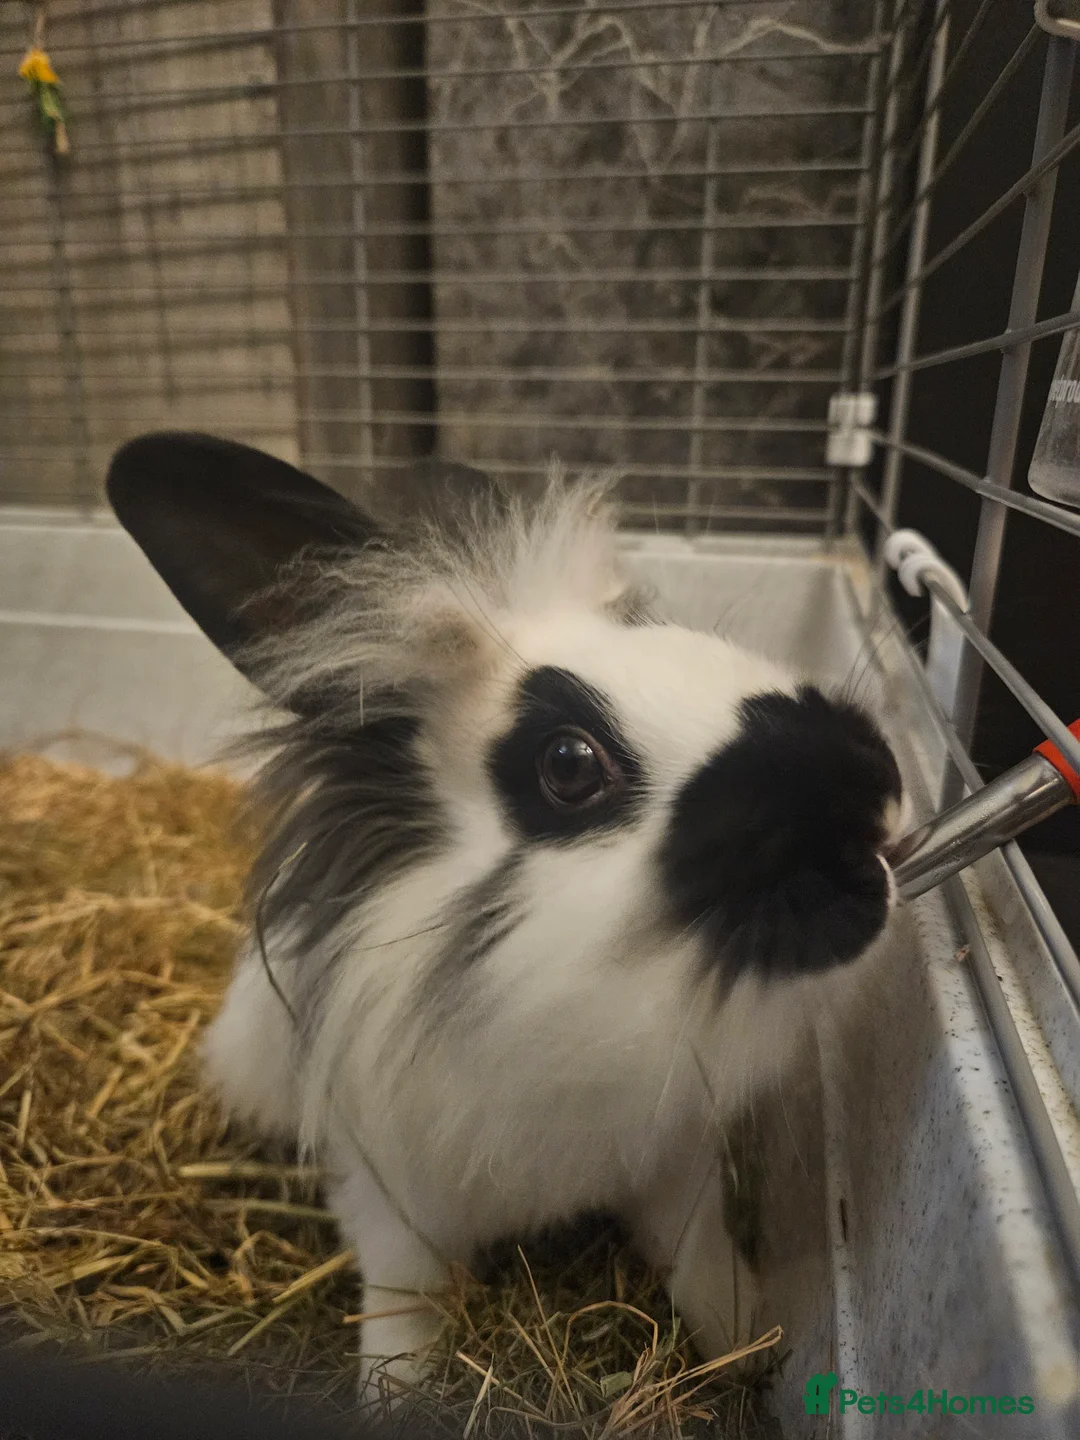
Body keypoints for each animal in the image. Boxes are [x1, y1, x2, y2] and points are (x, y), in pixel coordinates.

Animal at [106, 433, 906, 1404]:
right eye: (569, 764)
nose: (869, 782)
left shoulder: (677, 1161)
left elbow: (699, 1254)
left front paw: (748, 1338)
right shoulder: (390, 1194)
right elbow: (403, 1297)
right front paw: (395, 1393)